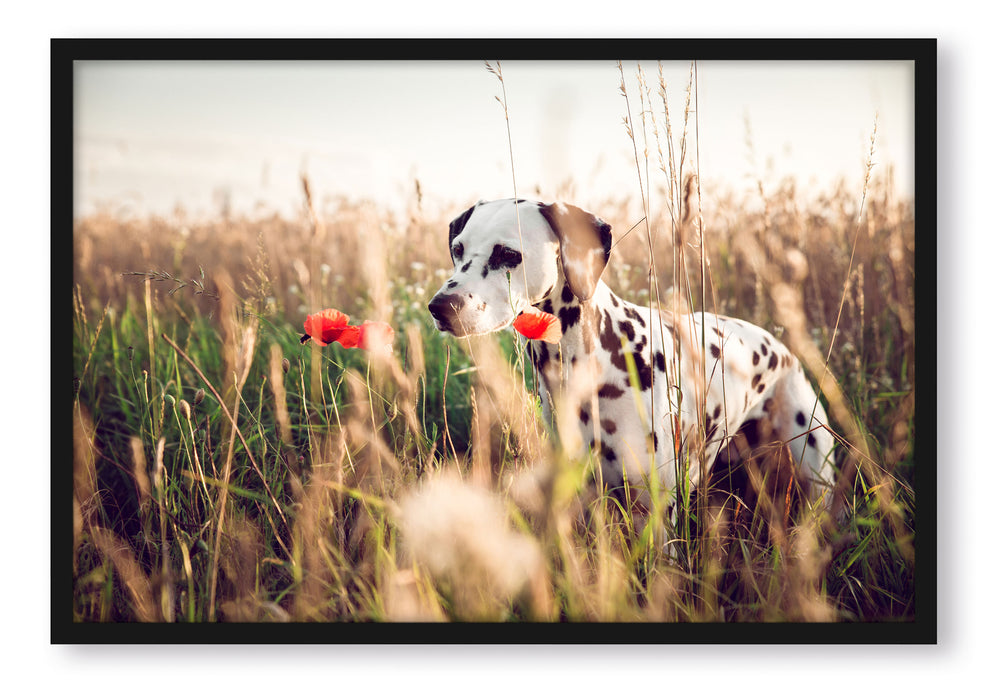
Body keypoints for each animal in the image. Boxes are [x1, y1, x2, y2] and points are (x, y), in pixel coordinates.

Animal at [428, 200, 836, 516]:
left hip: (817, 472)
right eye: (458, 249)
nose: (440, 307)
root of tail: (780, 346)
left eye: (509, 255)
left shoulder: (653, 509)